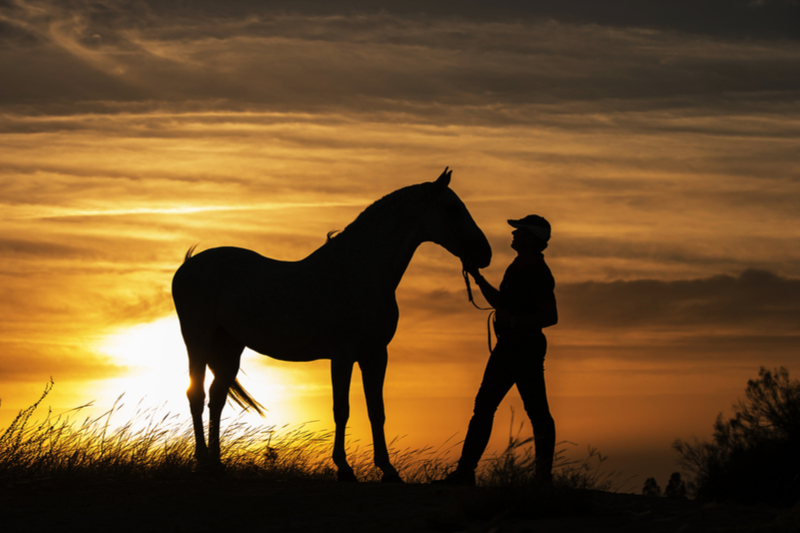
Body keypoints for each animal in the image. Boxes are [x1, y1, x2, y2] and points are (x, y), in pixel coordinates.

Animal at [172, 168, 490, 480]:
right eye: (452, 208)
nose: (484, 254)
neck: (361, 272)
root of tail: (188, 264)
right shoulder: (343, 355)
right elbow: (342, 409)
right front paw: (344, 468)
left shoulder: (376, 355)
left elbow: (376, 410)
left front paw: (388, 470)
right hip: (197, 340)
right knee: (196, 394)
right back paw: (203, 460)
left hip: (230, 347)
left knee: (216, 398)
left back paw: (216, 464)